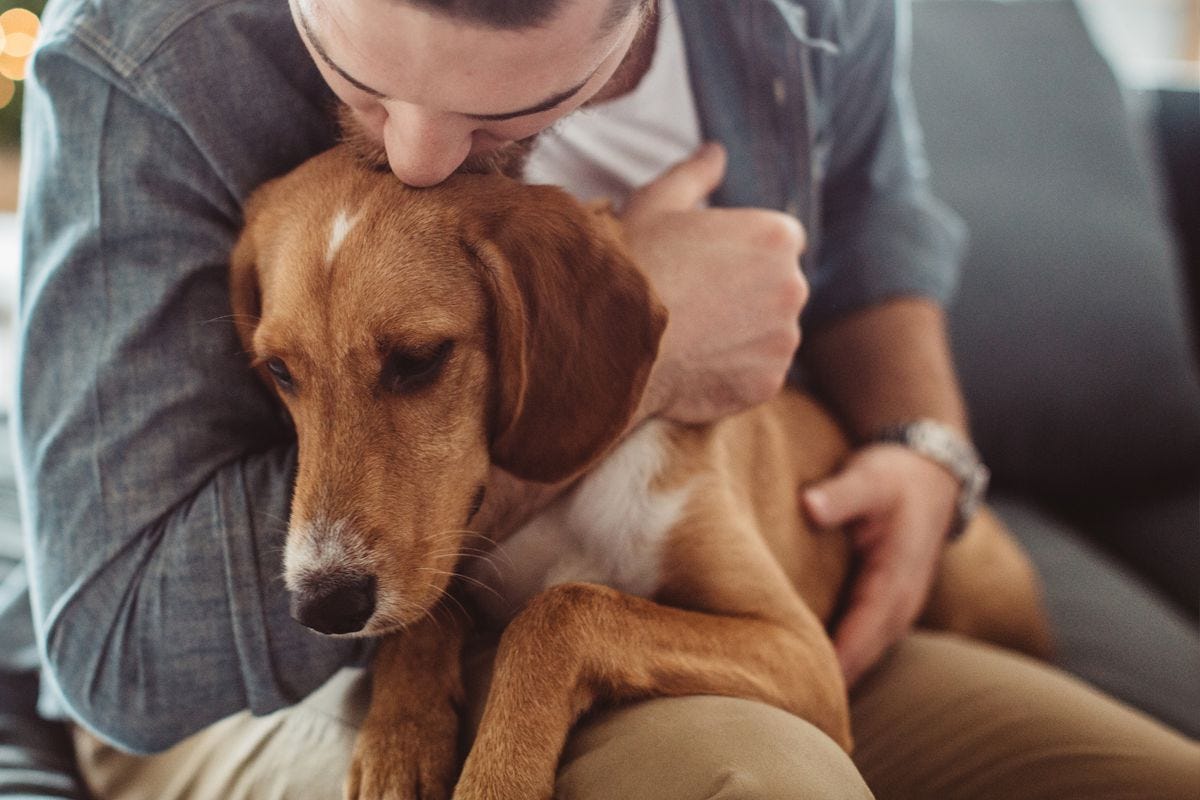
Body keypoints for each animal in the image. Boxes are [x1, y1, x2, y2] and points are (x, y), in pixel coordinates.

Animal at [226, 145, 1051, 800]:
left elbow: (563, 611)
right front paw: (401, 740)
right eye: (278, 371)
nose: (322, 605)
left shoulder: (802, 649)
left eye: (419, 360)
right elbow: (431, 614)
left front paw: (498, 776)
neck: (565, 503)